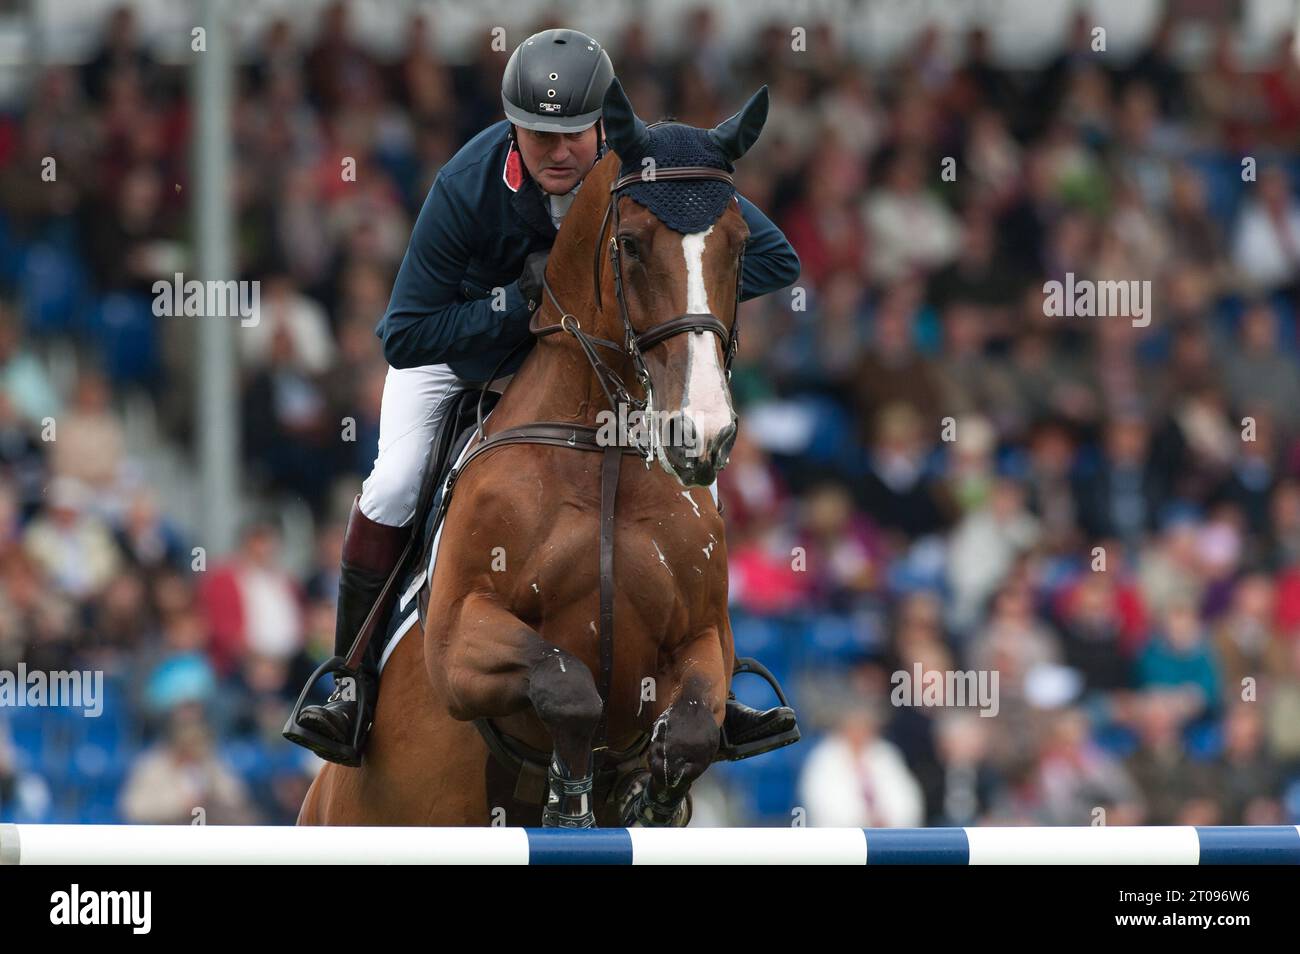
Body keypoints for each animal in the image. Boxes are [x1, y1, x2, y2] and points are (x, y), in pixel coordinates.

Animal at [299, 80, 764, 831]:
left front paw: (648, 799)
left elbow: (692, 725)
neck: (601, 449)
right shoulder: (460, 644)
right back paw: (338, 712)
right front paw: (570, 801)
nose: (700, 432)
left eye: (742, 245)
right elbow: (568, 685)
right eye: (630, 245)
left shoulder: (703, 641)